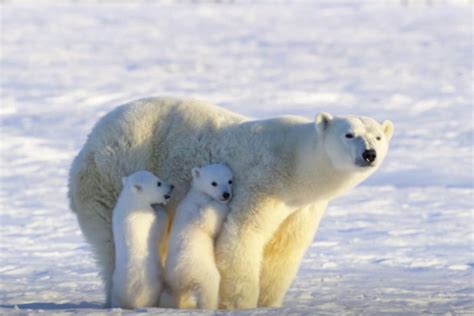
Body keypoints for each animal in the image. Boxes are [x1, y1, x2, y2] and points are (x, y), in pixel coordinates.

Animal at [66, 96, 392, 308]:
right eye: (349, 134)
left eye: (377, 136)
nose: (369, 154)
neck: (297, 163)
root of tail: (91, 137)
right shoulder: (262, 183)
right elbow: (241, 238)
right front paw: (241, 303)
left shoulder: (302, 207)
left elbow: (285, 248)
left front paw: (268, 302)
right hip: (112, 171)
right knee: (110, 241)